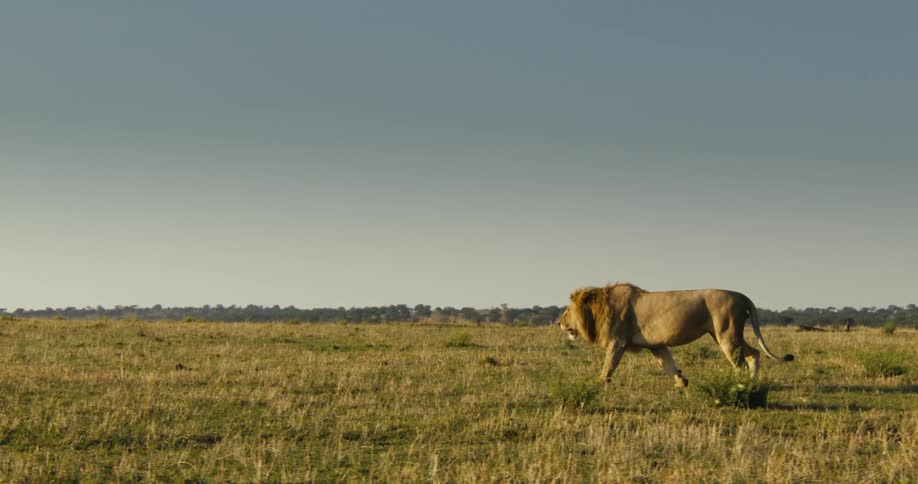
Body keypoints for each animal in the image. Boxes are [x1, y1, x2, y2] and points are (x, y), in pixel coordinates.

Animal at [557, 283, 793, 387]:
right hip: (726, 335)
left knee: (741, 362)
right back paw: (752, 383)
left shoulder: (618, 342)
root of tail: (742, 295)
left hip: (727, 335)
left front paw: (599, 382)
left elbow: (608, 365)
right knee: (754, 353)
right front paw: (682, 382)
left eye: (567, 310)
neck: (602, 307)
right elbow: (668, 364)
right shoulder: (656, 345)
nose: (559, 322)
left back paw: (740, 385)